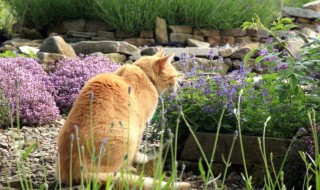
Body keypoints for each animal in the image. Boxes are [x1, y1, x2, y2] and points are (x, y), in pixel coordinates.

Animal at [55, 49, 190, 189]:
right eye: (174, 77)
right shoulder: (141, 125)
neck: (145, 75)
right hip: (127, 136)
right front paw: (140, 158)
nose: (178, 87)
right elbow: (138, 148)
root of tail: (75, 171)